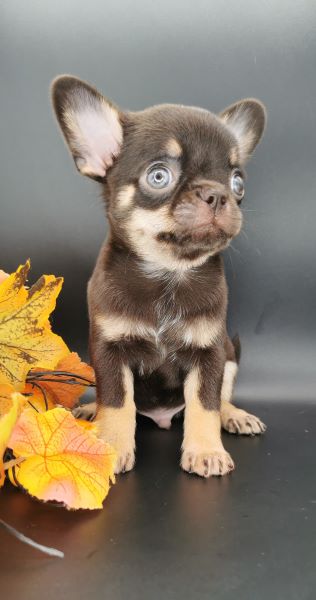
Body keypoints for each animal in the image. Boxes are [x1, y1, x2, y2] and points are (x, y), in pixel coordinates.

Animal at [51, 75, 266, 478]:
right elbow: (117, 402)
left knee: (221, 399)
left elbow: (205, 403)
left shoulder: (210, 355)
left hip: (229, 356)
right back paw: (90, 411)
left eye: (238, 183)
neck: (168, 272)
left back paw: (234, 415)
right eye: (159, 175)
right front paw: (112, 446)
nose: (218, 194)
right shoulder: (109, 352)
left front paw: (206, 450)